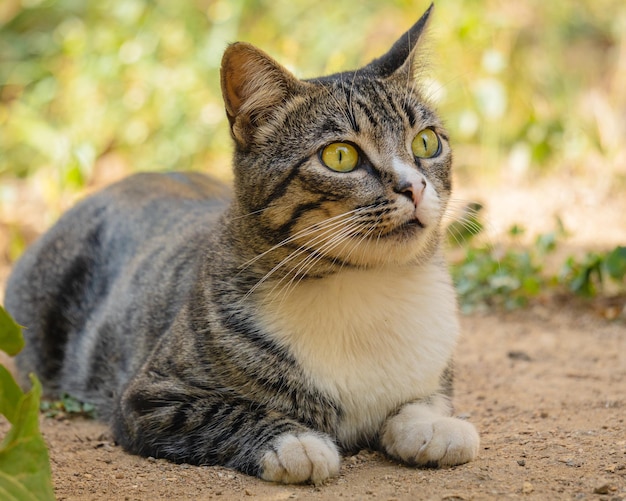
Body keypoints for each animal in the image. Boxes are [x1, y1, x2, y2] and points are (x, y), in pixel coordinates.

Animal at [4, 4, 478, 484]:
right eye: (340, 156)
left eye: (426, 142)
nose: (414, 187)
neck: (366, 286)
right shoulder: (149, 399)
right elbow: (230, 412)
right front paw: (296, 443)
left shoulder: (436, 371)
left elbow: (425, 398)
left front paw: (433, 425)